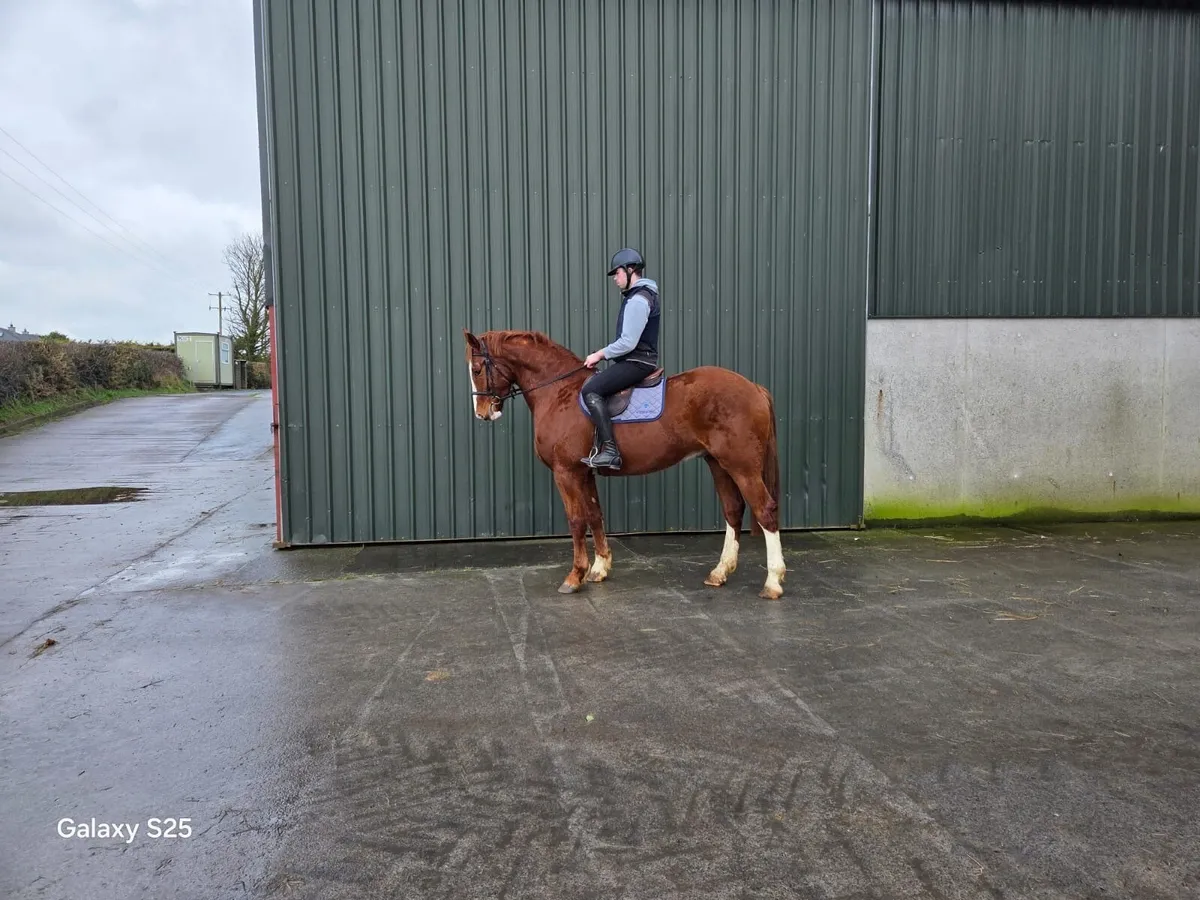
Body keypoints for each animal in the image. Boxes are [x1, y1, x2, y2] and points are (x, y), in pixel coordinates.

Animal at [463, 328, 786, 599]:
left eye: (477, 370)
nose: (482, 413)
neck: (560, 392)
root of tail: (754, 387)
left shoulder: (566, 472)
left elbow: (577, 520)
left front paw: (575, 576)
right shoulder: (585, 472)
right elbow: (595, 515)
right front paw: (599, 568)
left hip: (742, 466)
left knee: (765, 511)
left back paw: (773, 582)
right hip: (718, 463)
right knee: (733, 510)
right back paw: (720, 573)